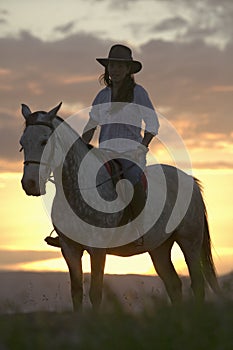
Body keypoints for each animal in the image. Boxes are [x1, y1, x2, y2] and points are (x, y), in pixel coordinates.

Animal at [19, 102, 220, 310]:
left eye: (44, 142)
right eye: (22, 143)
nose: (30, 184)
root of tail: (191, 181)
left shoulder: (98, 249)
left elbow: (95, 293)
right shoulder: (70, 249)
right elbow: (76, 293)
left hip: (190, 242)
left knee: (197, 284)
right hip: (159, 247)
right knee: (174, 284)